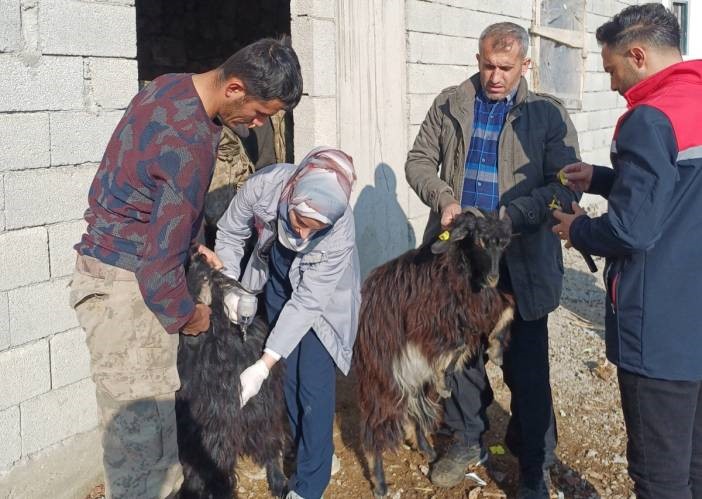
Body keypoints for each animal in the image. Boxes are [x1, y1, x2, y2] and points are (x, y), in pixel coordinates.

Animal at [354, 206, 516, 496]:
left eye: (504, 244)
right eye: (479, 241)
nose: (493, 277)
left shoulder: (475, 309)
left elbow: (508, 306)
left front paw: (496, 348)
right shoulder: (427, 323)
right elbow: (457, 344)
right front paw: (444, 379)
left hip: (413, 379)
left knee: (413, 412)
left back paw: (426, 449)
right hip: (381, 379)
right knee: (374, 429)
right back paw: (380, 483)